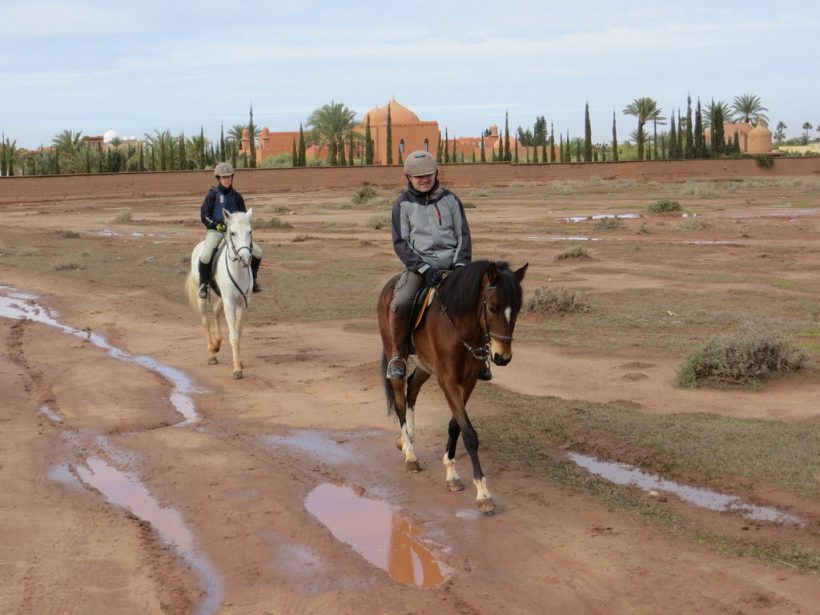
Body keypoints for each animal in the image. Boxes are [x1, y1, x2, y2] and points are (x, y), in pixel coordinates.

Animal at [187, 209, 255, 378]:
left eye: (250, 231)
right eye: (232, 233)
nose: (245, 259)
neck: (238, 271)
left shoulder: (242, 303)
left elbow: (238, 331)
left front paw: (239, 361)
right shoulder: (229, 302)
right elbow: (234, 335)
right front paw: (237, 369)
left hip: (220, 297)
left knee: (216, 313)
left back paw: (217, 344)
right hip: (202, 297)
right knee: (206, 321)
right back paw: (211, 354)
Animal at [376, 260, 528, 516]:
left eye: (517, 309)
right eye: (493, 308)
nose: (502, 357)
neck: (459, 327)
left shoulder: (468, 381)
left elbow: (455, 426)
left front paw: (451, 472)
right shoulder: (447, 380)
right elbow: (469, 433)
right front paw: (483, 493)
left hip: (426, 365)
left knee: (412, 388)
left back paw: (406, 438)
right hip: (396, 354)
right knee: (399, 399)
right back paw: (410, 454)